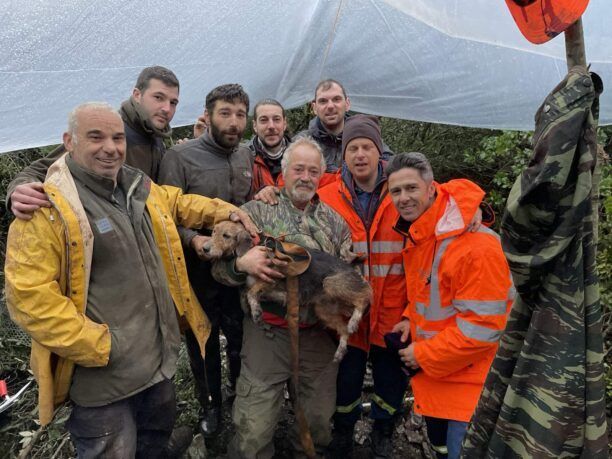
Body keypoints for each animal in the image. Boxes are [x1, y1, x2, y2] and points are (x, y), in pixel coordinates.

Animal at [203, 221, 370, 362]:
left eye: (226, 236)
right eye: (214, 231)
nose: (204, 248)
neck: (254, 246)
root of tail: (352, 268)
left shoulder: (271, 276)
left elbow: (251, 292)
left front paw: (256, 312)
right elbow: (247, 293)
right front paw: (253, 308)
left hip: (330, 283)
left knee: (365, 295)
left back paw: (354, 321)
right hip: (324, 310)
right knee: (344, 330)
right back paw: (340, 351)